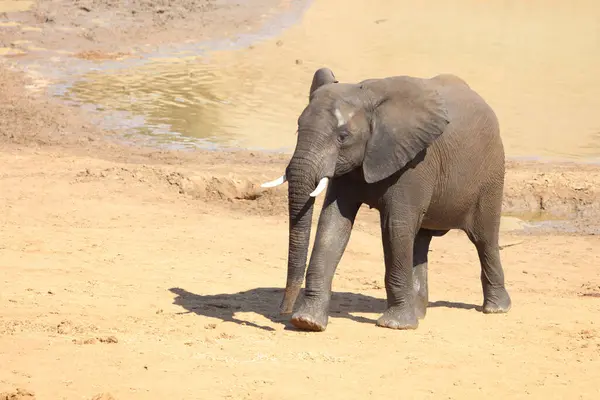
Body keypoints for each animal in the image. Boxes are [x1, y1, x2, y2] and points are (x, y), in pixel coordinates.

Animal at [260, 68, 508, 332]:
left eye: (343, 137)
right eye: (298, 129)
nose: (283, 311)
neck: (367, 96)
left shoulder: (413, 161)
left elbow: (394, 227)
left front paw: (395, 325)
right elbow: (332, 225)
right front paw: (308, 322)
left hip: (491, 175)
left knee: (484, 239)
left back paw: (495, 308)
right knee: (421, 240)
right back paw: (419, 313)